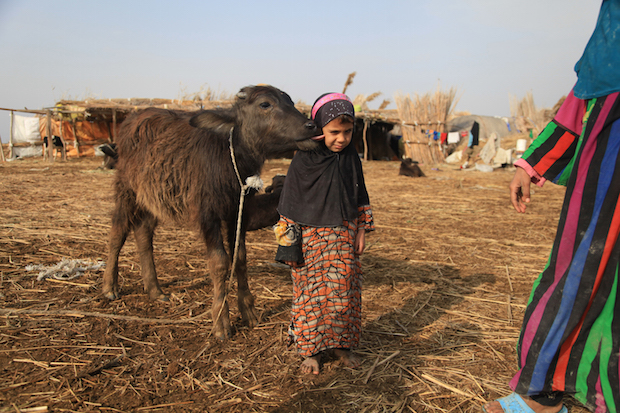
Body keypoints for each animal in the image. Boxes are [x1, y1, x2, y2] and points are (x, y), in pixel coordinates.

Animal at [103, 84, 320, 338]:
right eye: (265, 104)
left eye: (291, 102)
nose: (311, 126)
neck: (230, 157)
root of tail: (129, 122)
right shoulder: (208, 214)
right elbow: (219, 262)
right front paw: (221, 321)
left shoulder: (239, 211)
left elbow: (240, 257)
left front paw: (248, 310)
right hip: (127, 189)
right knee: (117, 231)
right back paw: (109, 286)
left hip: (152, 197)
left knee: (143, 232)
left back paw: (155, 289)